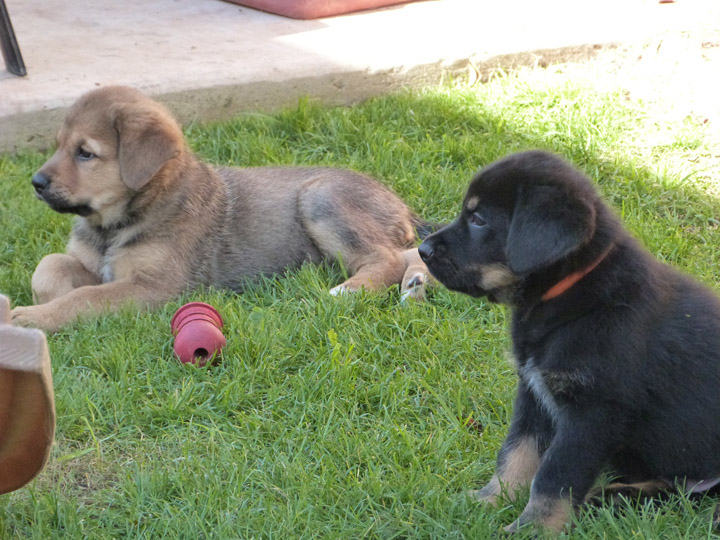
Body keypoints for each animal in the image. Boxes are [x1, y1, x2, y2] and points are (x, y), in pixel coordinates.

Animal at [9, 86, 434, 332]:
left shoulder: (157, 287)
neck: (113, 225)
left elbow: (86, 298)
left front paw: (32, 319)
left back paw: (348, 291)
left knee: (385, 259)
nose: (36, 183)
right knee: (408, 253)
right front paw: (45, 300)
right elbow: (48, 268)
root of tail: (400, 204)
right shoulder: (98, 265)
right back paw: (415, 287)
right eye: (58, 145)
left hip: (321, 198)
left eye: (85, 153)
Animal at [420, 151, 720, 532]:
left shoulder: (592, 412)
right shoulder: (534, 393)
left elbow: (555, 473)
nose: (421, 249)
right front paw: (490, 500)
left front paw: (532, 528)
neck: (573, 296)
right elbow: (516, 453)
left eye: (478, 219)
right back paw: (612, 496)